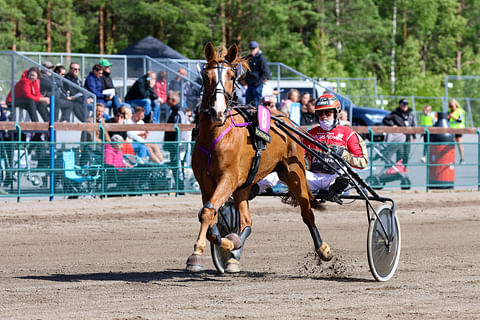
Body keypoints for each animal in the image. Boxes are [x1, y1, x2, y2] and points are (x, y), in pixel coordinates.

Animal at [186, 42, 332, 272]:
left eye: (231, 76)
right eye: (206, 76)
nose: (218, 111)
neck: (214, 137)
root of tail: (284, 118)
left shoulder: (228, 178)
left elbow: (208, 213)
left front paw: (196, 254)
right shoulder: (206, 183)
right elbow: (210, 216)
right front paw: (226, 243)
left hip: (294, 172)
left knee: (307, 212)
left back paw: (323, 249)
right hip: (244, 185)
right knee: (247, 222)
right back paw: (234, 249)